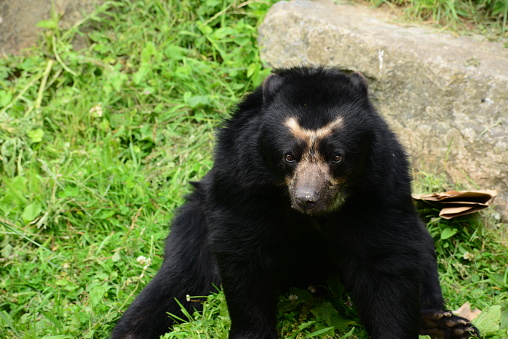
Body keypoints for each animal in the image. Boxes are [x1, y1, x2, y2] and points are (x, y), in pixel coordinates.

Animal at [111, 67, 480, 338]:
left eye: (337, 156)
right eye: (289, 156)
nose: (308, 198)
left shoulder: (380, 186)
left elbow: (387, 261)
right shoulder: (241, 186)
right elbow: (244, 258)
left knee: (422, 250)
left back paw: (446, 324)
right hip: (196, 220)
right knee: (182, 277)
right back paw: (129, 331)